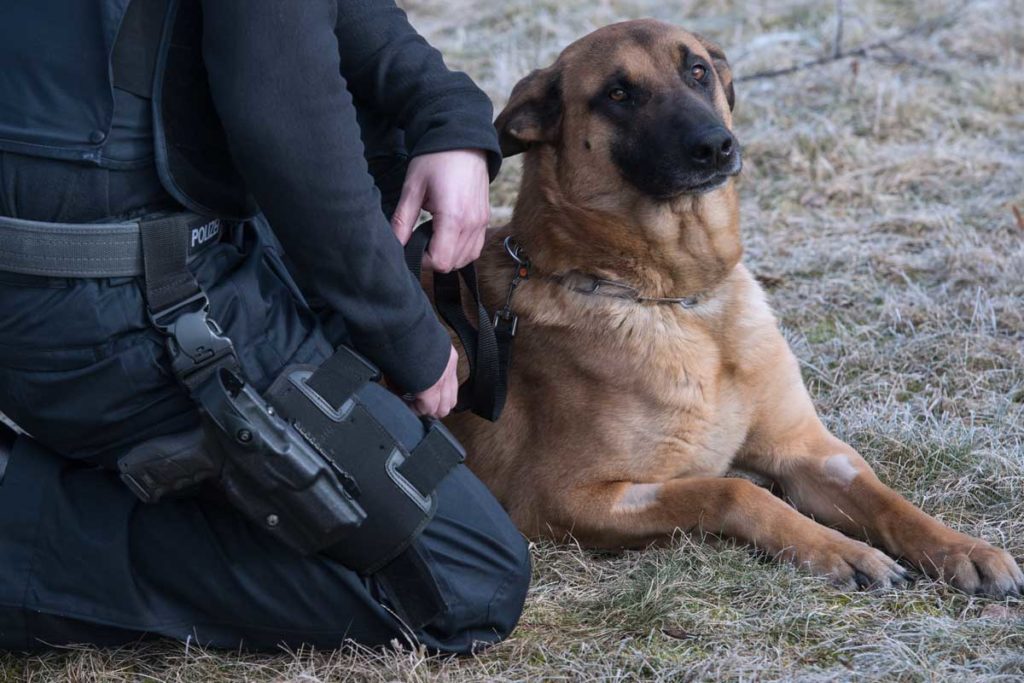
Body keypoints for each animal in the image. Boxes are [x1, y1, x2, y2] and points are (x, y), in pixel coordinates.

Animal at [442, 18, 1024, 593]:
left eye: (697, 71)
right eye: (617, 93)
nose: (715, 146)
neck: (681, 302)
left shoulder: (811, 452)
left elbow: (889, 501)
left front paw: (965, 549)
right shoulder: (561, 497)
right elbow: (732, 490)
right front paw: (844, 551)